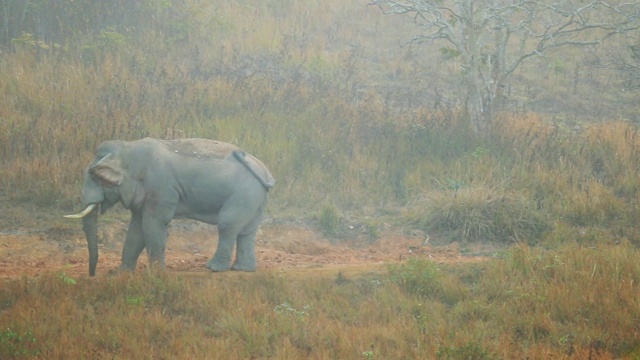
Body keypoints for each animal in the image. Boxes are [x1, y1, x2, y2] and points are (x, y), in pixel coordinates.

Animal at [65, 138, 276, 276]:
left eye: (95, 176)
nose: (92, 274)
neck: (128, 148)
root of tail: (263, 170)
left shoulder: (160, 189)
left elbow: (153, 225)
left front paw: (156, 274)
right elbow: (136, 229)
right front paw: (120, 273)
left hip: (243, 194)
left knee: (227, 226)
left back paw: (213, 268)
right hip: (255, 197)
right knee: (247, 232)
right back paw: (243, 269)